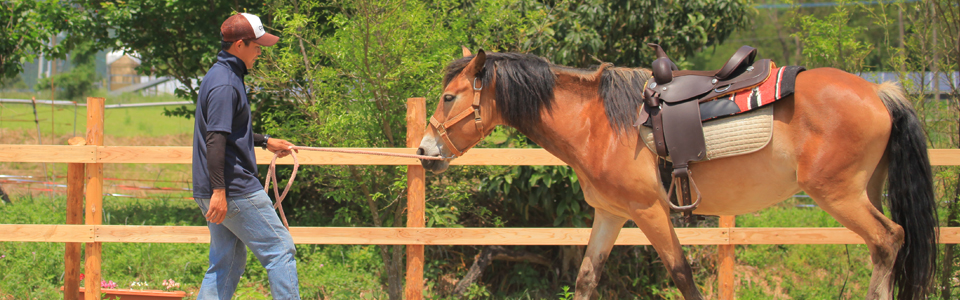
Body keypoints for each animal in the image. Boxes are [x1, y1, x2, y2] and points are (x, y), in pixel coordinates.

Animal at [414, 48, 936, 298]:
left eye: (448, 97)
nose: (423, 151)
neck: (600, 124)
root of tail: (879, 92)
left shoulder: (650, 211)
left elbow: (683, 276)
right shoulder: (611, 215)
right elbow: (586, 279)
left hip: (840, 195)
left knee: (889, 240)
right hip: (863, 192)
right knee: (885, 247)